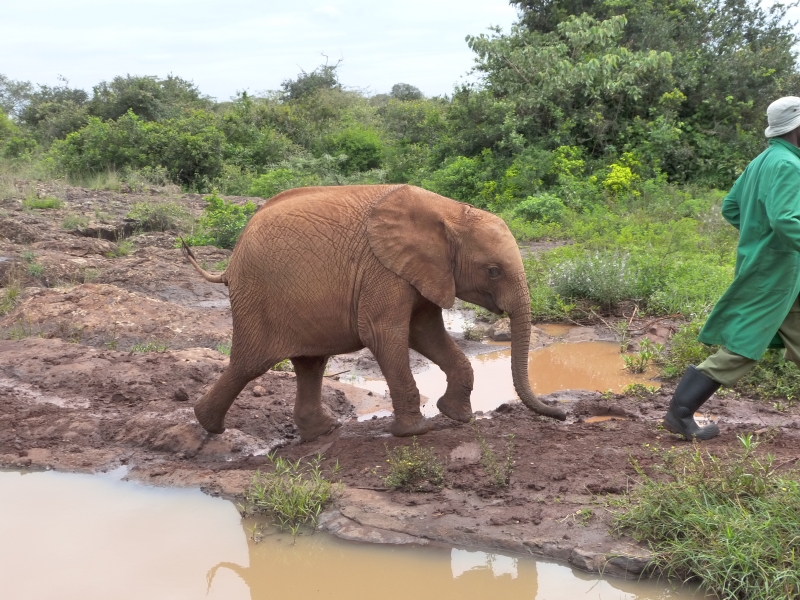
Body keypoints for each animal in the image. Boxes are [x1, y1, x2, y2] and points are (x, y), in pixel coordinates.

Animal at [183, 184, 566, 441]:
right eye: (493, 271)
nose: (561, 414)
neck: (449, 212)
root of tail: (230, 261)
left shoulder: (421, 271)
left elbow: (424, 333)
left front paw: (457, 417)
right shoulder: (382, 270)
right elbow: (384, 334)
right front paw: (414, 432)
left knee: (310, 364)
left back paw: (323, 432)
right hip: (257, 296)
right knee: (249, 364)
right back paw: (209, 425)